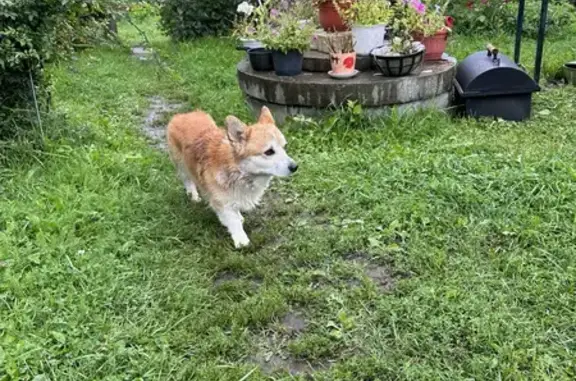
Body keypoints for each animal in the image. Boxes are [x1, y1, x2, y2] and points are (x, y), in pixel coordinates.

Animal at [164, 105, 294, 248]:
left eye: (285, 147)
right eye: (269, 152)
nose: (295, 167)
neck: (238, 171)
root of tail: (183, 115)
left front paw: (239, 217)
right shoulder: (222, 202)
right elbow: (233, 220)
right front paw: (241, 240)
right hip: (181, 165)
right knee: (187, 180)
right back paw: (193, 195)